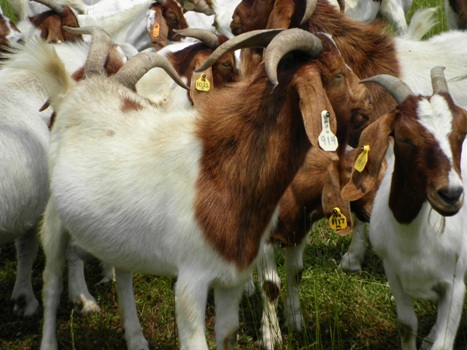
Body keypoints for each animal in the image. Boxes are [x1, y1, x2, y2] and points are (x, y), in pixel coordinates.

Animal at [340, 66, 467, 350]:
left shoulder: (455, 284)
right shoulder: (394, 273)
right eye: (405, 138)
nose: (451, 194)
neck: (416, 241)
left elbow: (443, 343)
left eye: (461, 134)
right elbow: (407, 326)